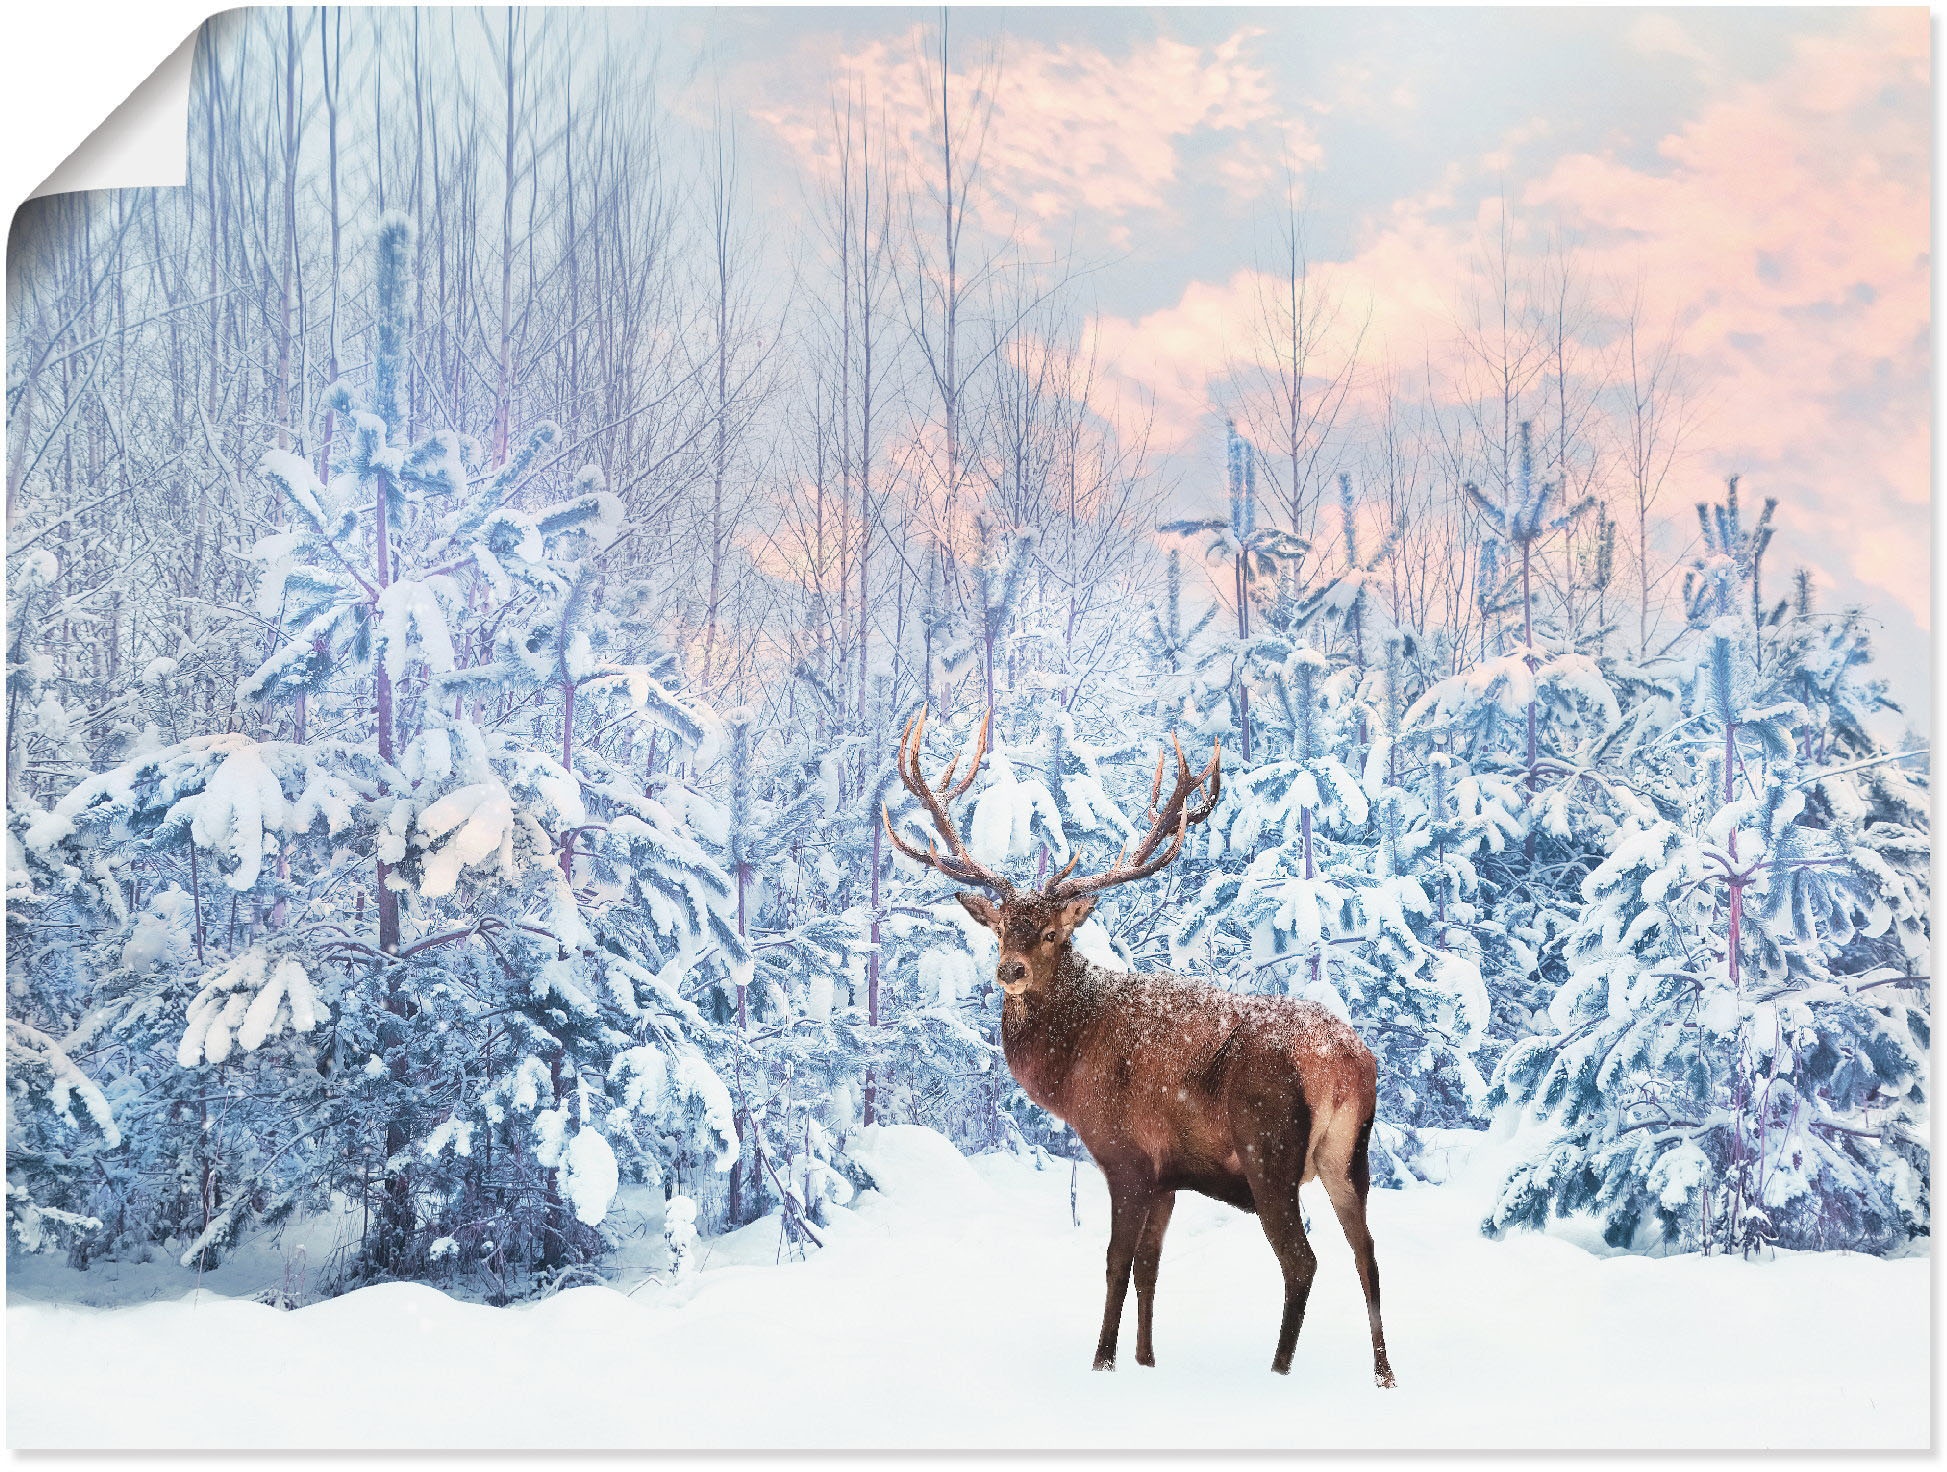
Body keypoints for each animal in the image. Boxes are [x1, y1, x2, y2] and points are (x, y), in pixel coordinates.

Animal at [883, 709, 1395, 1386]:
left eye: (1052, 932)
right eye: (1000, 929)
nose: (1010, 971)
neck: (1068, 1074)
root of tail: (1345, 1063)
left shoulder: (1125, 1157)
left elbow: (1115, 1263)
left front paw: (1102, 1362)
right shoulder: (1169, 1175)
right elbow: (1150, 1268)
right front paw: (1148, 1361)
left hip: (1268, 1150)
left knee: (1302, 1260)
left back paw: (1278, 1370)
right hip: (1348, 1158)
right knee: (1368, 1254)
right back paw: (1384, 1373)